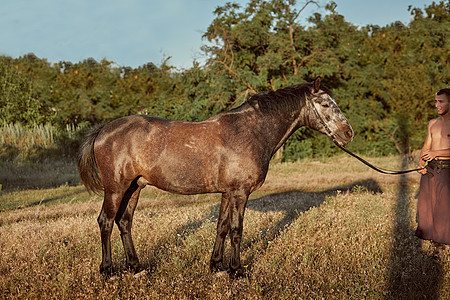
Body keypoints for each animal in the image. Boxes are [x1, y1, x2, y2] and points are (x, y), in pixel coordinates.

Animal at [77, 76, 354, 276]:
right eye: (326, 104)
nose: (348, 133)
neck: (250, 131)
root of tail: (104, 129)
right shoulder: (240, 192)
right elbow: (237, 230)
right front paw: (237, 270)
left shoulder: (227, 193)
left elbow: (221, 227)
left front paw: (216, 266)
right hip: (115, 189)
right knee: (105, 221)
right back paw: (108, 270)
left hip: (134, 188)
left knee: (124, 222)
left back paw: (136, 268)